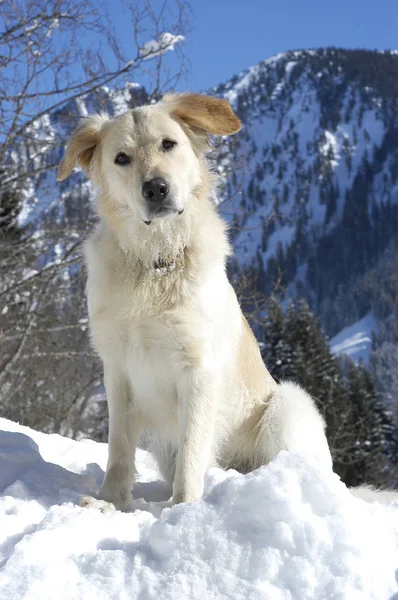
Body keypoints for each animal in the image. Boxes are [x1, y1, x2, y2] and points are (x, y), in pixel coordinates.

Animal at [57, 94, 396, 510]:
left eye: (168, 144)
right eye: (122, 158)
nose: (156, 189)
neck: (156, 262)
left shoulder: (198, 370)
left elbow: (191, 453)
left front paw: (182, 509)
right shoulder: (118, 370)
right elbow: (119, 449)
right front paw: (110, 502)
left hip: (287, 404)